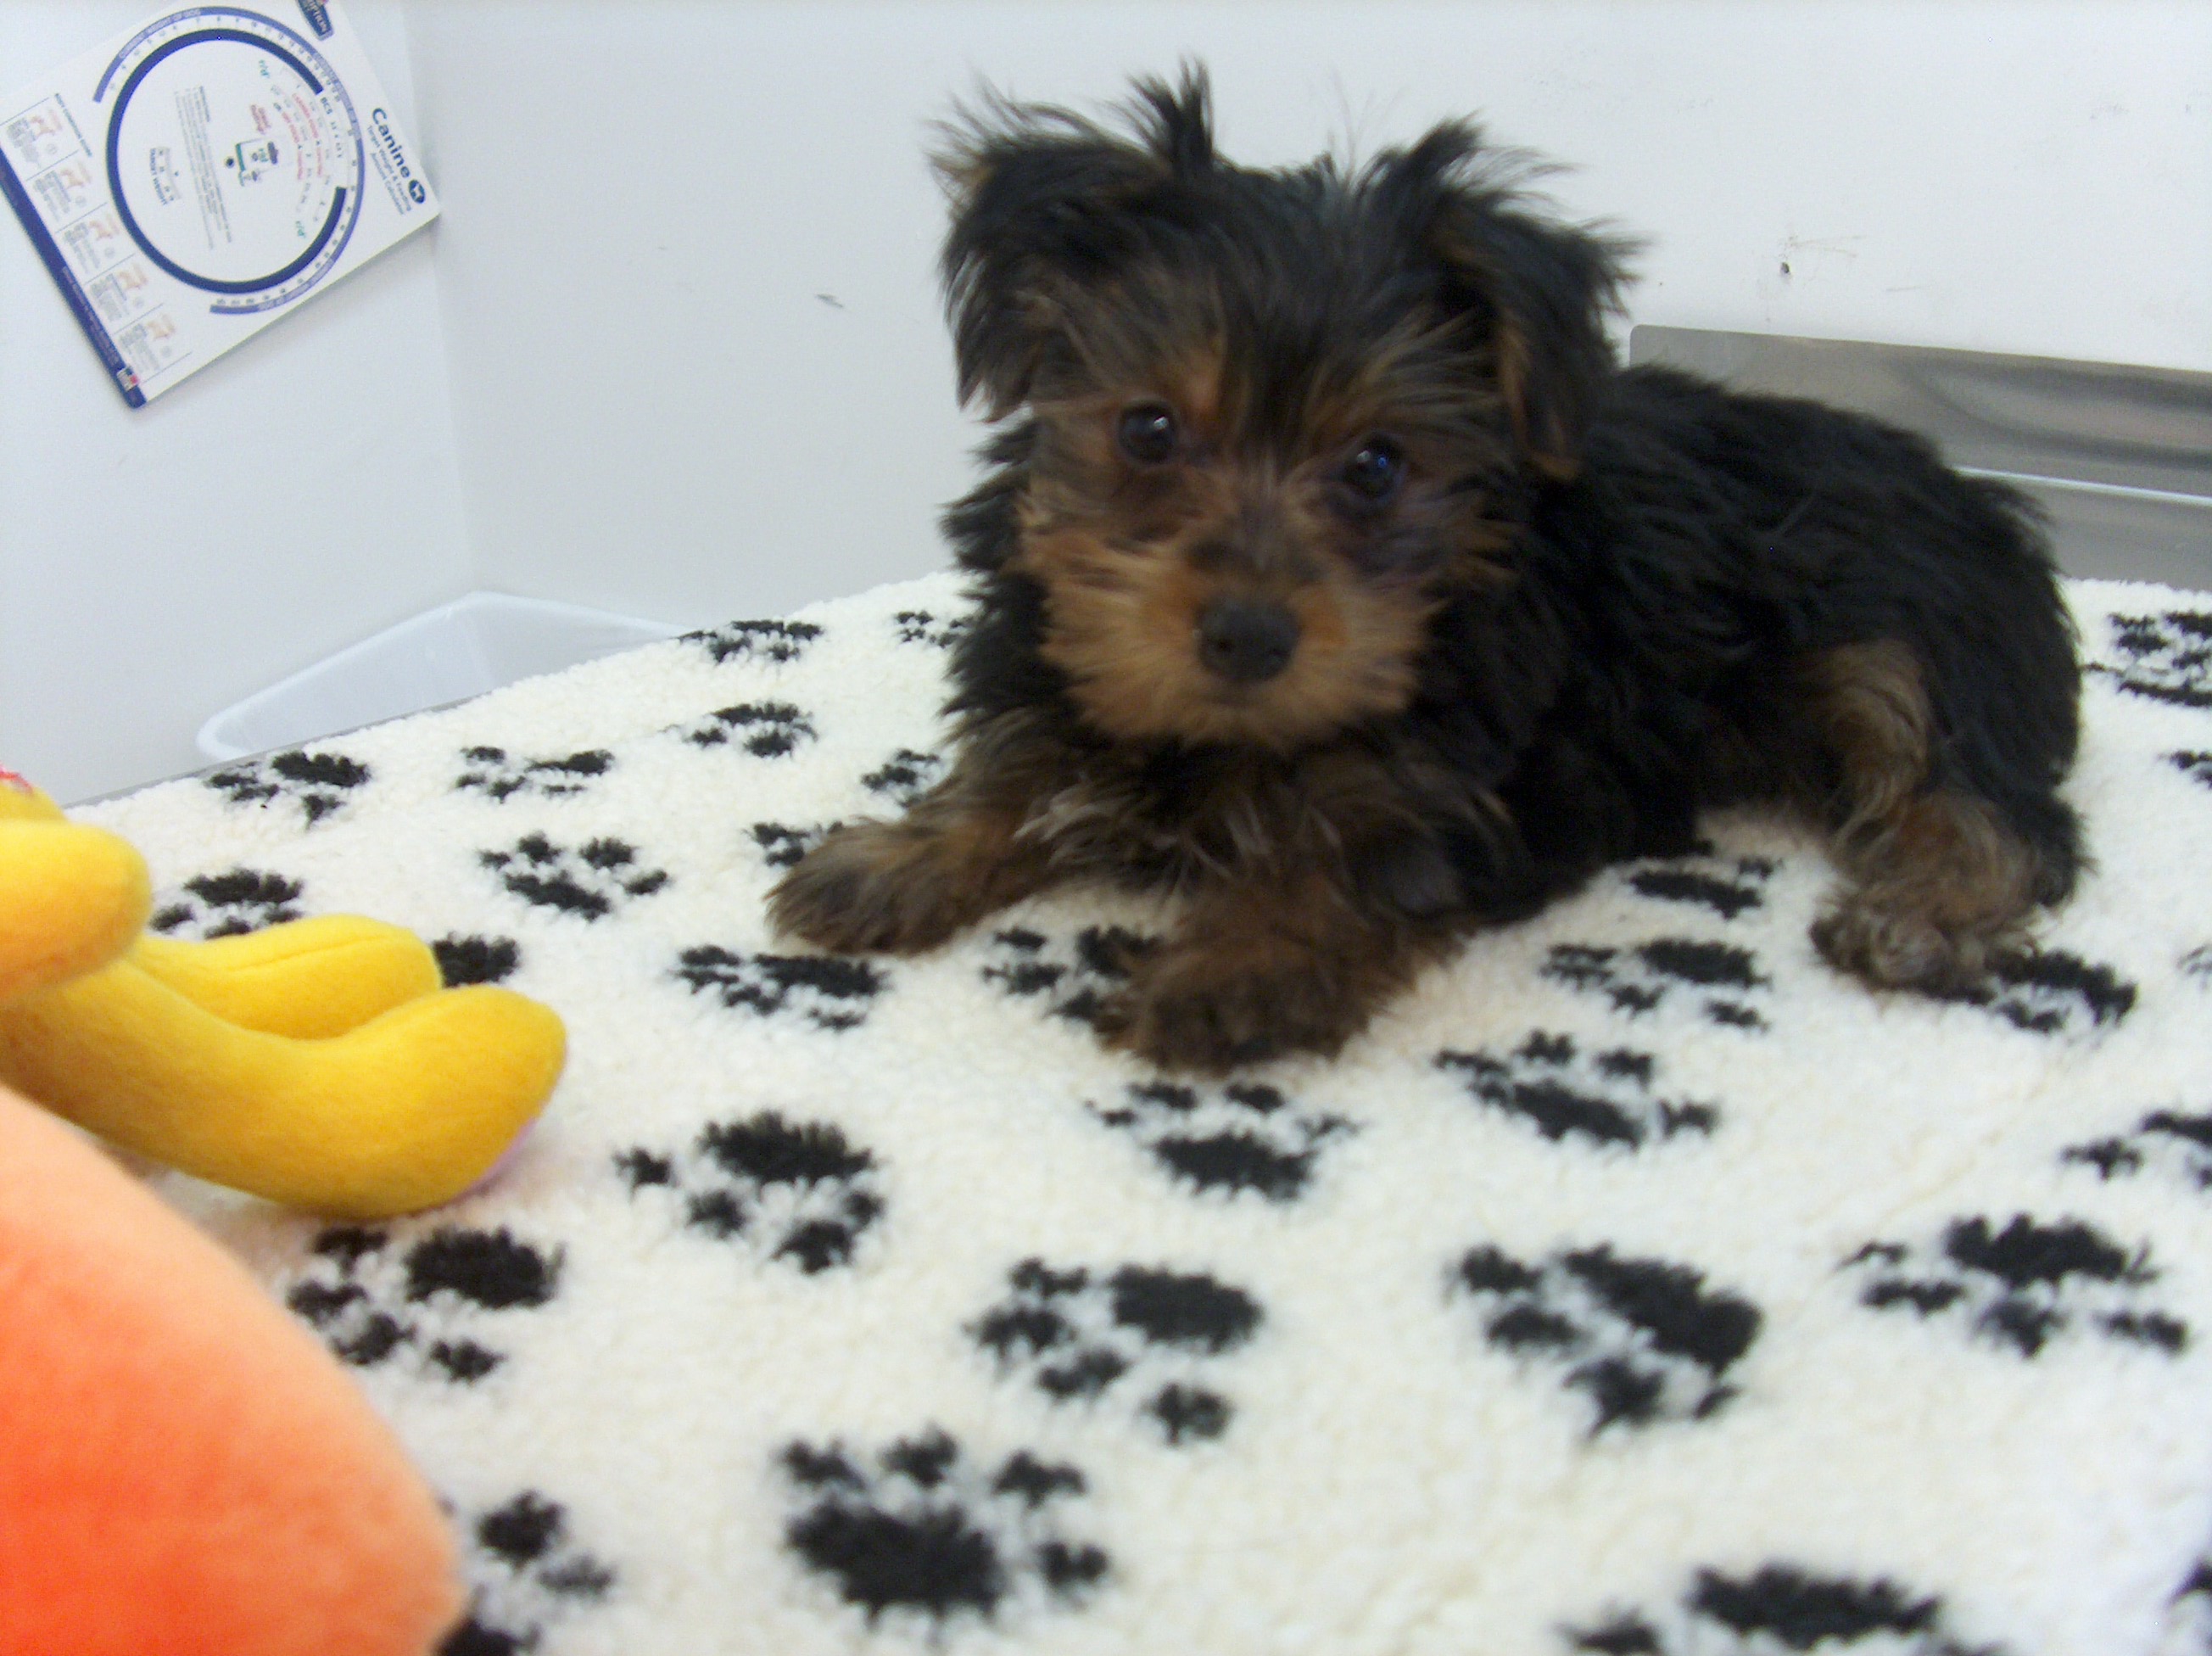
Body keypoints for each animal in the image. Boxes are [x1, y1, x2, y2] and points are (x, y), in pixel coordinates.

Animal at [768, 67, 2083, 1074]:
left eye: (1377, 465)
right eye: (1146, 430)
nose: (1248, 635)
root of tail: (1977, 494)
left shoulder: (1458, 784)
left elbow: (1347, 854)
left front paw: (1237, 970)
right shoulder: (1056, 653)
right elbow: (1018, 754)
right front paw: (898, 857)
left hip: (1904, 633)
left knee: (1983, 801)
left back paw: (1919, 915)